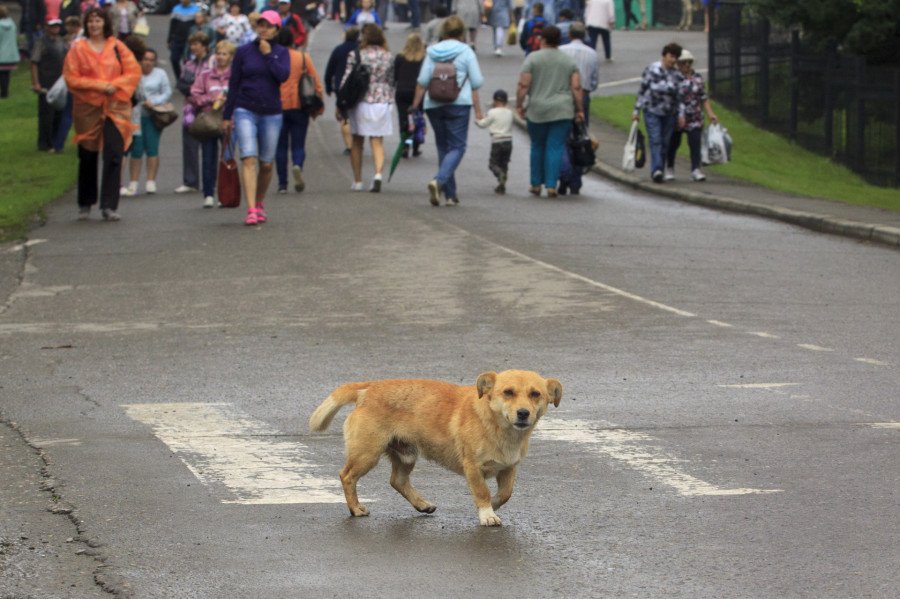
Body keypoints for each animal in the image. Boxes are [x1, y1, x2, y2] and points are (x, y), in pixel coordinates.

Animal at [310, 368, 564, 528]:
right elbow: (482, 491)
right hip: (367, 454)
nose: (523, 413)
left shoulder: (509, 467)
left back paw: (422, 505)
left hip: (407, 454)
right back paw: (356, 509)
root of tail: (368, 389)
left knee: (397, 481)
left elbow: (505, 494)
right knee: (347, 476)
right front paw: (487, 515)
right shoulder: (473, 467)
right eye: (508, 392)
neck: (498, 427)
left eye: (535, 394)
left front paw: (491, 507)